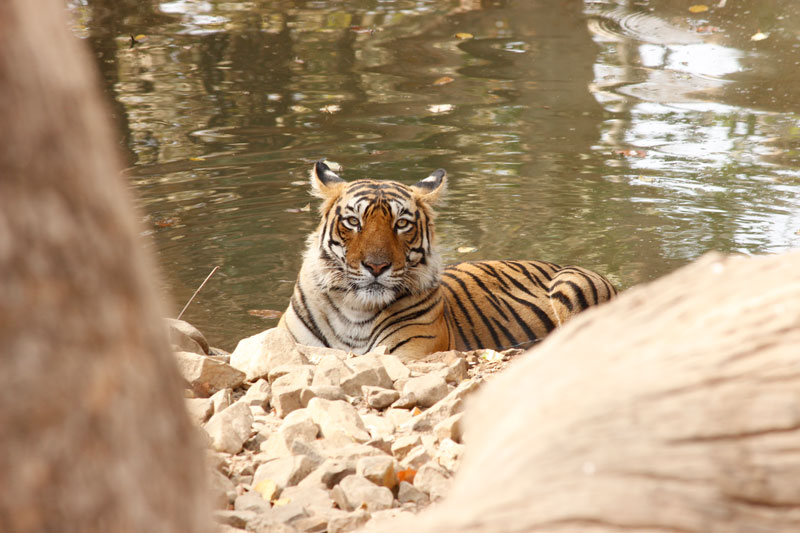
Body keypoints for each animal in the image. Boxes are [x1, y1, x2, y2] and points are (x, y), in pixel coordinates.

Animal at [280, 158, 620, 358]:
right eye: (353, 221)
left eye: (401, 224)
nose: (376, 266)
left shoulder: (409, 352)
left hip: (570, 283)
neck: (355, 310)